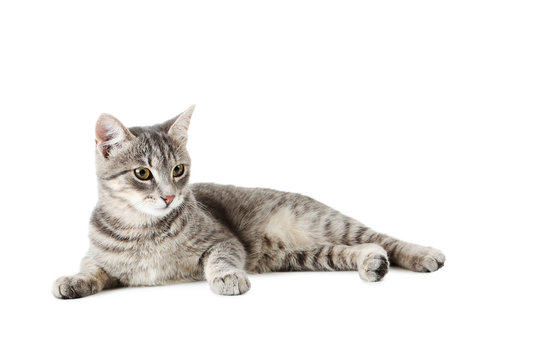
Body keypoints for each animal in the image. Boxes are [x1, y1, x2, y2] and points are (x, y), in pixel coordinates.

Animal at [52, 105, 446, 300]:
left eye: (178, 169)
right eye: (143, 173)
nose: (169, 195)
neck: (142, 229)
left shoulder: (224, 241)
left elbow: (219, 259)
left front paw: (226, 277)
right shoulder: (99, 258)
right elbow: (91, 268)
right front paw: (73, 280)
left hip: (325, 223)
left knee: (385, 240)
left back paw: (424, 254)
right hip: (305, 256)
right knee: (362, 249)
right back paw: (372, 264)